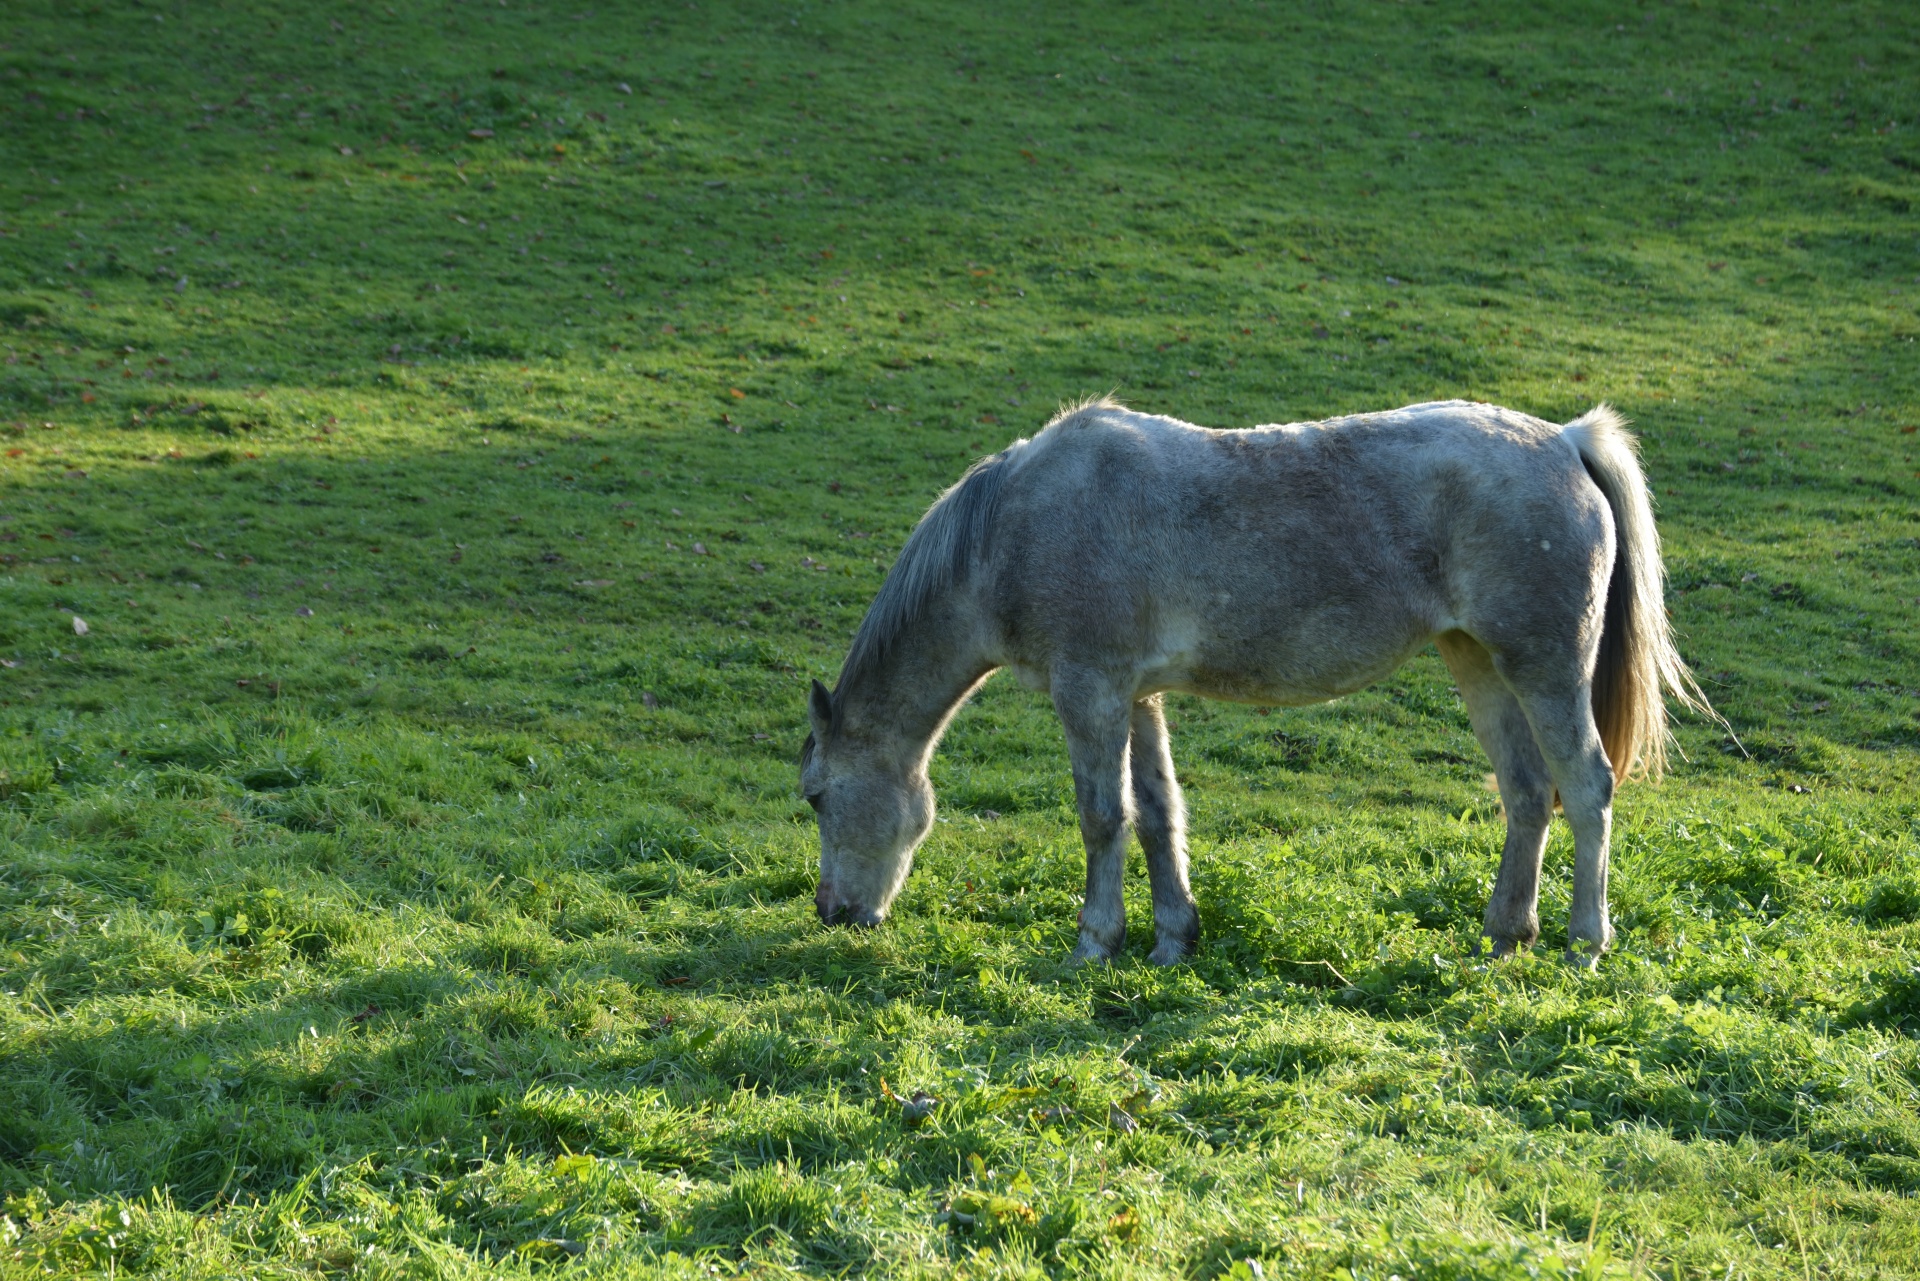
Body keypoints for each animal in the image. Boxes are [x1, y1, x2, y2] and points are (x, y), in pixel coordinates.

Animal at [794, 395, 1712, 967]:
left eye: (815, 796)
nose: (832, 911)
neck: (1015, 526)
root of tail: (1564, 440)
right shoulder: (1138, 697)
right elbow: (1157, 813)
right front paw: (1173, 938)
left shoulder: (1089, 691)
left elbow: (1102, 817)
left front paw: (1095, 941)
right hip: (1476, 662)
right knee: (1526, 793)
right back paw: (1503, 933)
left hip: (1543, 667)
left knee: (1585, 787)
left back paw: (1585, 941)